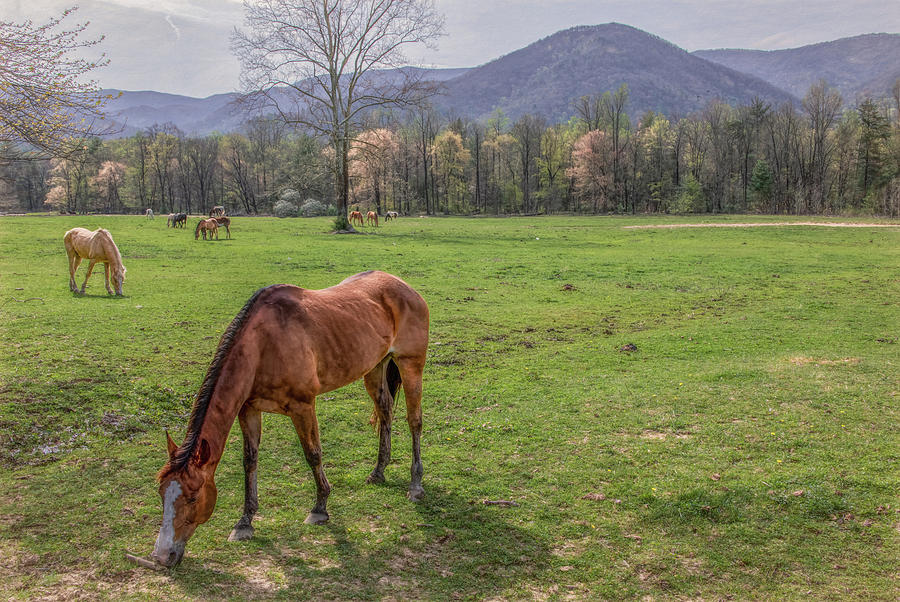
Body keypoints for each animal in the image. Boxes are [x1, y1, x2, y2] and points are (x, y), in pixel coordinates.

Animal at [153, 272, 430, 568]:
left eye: (193, 497)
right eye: (161, 493)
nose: (161, 556)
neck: (263, 346)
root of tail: (404, 286)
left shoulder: (303, 407)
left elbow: (313, 454)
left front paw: (320, 508)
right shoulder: (248, 410)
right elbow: (249, 461)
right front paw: (245, 522)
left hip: (410, 365)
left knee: (414, 421)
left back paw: (416, 485)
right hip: (375, 367)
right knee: (385, 410)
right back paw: (378, 471)